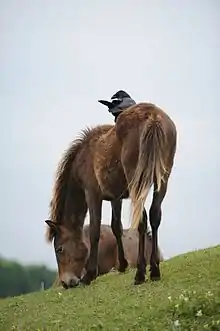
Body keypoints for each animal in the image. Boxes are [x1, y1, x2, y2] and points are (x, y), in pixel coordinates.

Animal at [45, 102, 176, 290]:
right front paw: (122, 265)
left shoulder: (92, 194)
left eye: (59, 249)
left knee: (142, 220)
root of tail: (152, 116)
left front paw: (89, 275)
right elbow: (116, 227)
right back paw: (154, 270)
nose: (66, 282)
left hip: (137, 183)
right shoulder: (116, 197)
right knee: (154, 215)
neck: (84, 156)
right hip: (162, 179)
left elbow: (95, 230)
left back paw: (140, 274)